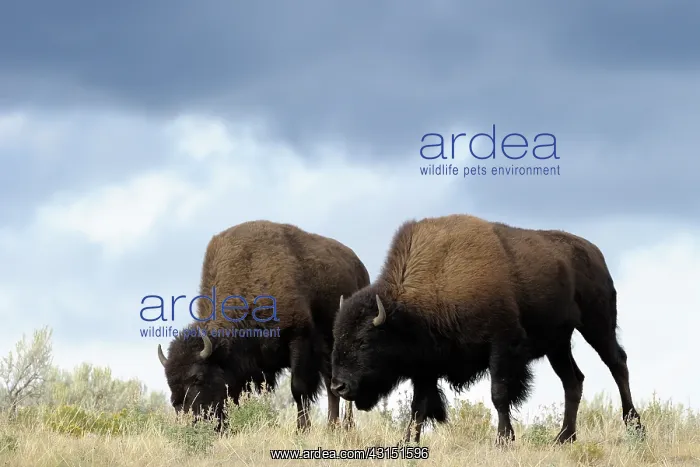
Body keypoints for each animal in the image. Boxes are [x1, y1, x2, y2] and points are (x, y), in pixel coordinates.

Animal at [157, 220, 369, 431]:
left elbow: (298, 389)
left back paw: (345, 426)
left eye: (197, 378)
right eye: (170, 382)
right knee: (332, 384)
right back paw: (333, 426)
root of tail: (360, 267)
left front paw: (301, 429)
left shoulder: (298, 339)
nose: (187, 421)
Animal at [331, 214, 645, 444]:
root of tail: (594, 253)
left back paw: (635, 427)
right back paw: (564, 437)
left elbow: (499, 394)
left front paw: (504, 439)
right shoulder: (426, 366)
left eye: (364, 341)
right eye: (337, 337)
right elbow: (418, 405)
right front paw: (408, 442)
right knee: (573, 380)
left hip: (597, 325)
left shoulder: (502, 346)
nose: (338, 385)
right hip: (558, 343)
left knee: (617, 363)